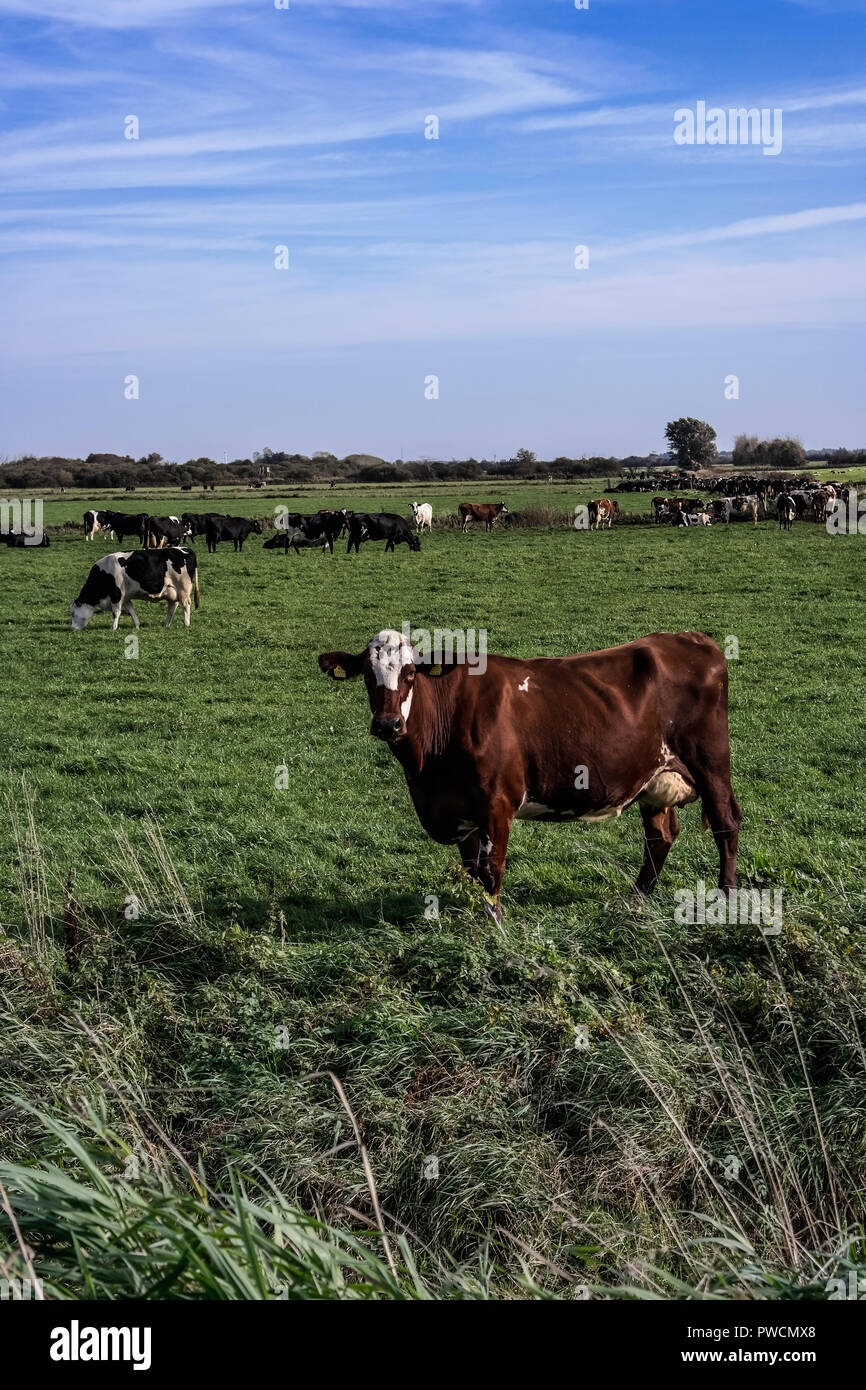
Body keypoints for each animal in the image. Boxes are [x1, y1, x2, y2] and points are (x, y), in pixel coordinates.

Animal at [70, 549, 200, 630]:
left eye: (72, 613)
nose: (72, 628)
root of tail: (185, 549)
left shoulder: (116, 594)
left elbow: (116, 612)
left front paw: (113, 628)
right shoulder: (125, 597)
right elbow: (131, 610)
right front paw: (137, 625)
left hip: (183, 589)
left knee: (186, 605)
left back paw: (186, 624)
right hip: (172, 591)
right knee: (172, 607)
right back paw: (166, 624)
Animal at [318, 629, 741, 928]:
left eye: (409, 673)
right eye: (367, 676)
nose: (387, 724)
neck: (426, 772)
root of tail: (691, 639)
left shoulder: (497, 803)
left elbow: (491, 869)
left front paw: (496, 927)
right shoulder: (460, 809)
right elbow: (470, 870)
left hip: (710, 761)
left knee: (726, 822)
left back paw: (728, 900)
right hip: (654, 778)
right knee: (661, 835)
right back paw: (634, 900)